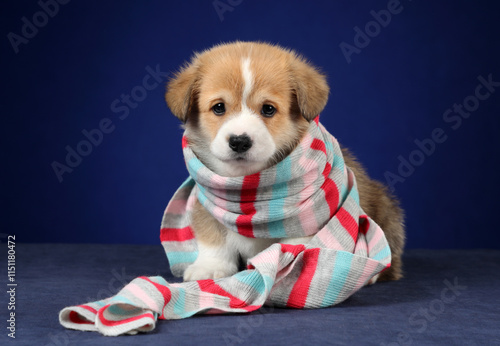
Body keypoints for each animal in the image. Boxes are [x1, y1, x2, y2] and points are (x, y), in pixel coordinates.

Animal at [166, 41, 404, 284]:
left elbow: (294, 247)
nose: (239, 141)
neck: (249, 190)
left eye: (268, 109)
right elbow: (212, 239)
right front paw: (210, 267)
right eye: (219, 107)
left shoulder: (305, 223)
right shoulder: (206, 205)